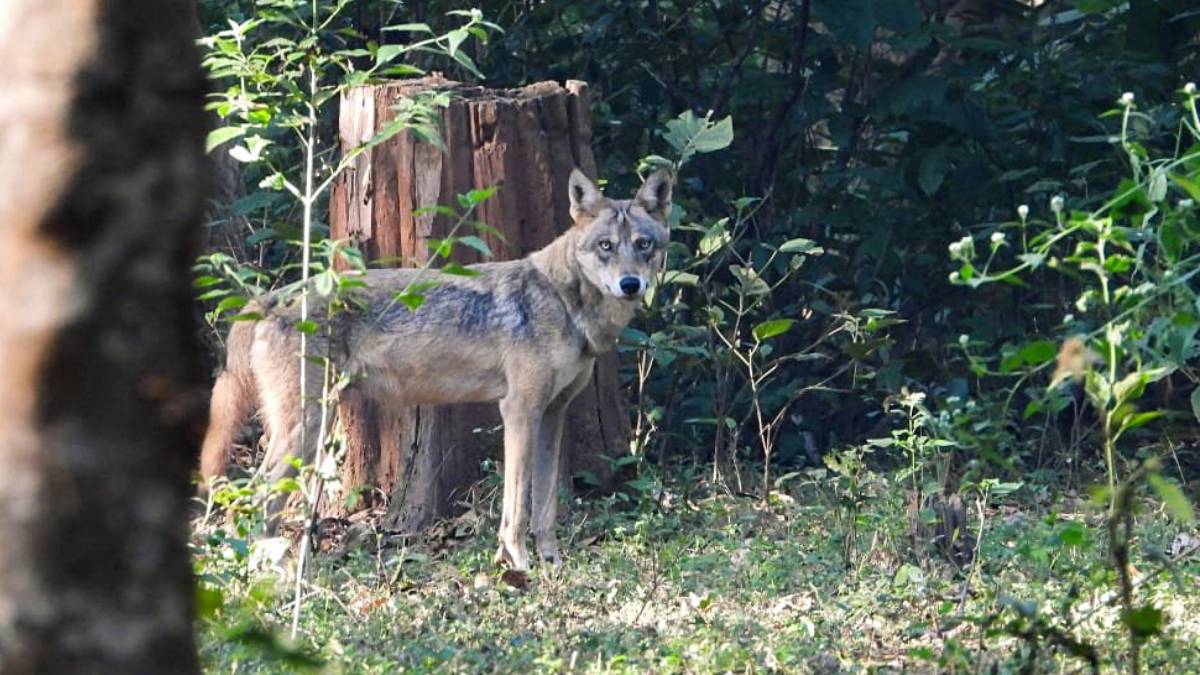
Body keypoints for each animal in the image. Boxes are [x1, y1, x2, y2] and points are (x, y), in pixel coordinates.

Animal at [199, 168, 672, 571]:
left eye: (643, 245)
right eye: (605, 246)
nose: (631, 284)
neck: (563, 300)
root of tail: (271, 297)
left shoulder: (552, 414)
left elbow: (544, 507)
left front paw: (552, 564)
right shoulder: (518, 410)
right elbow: (516, 506)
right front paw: (518, 565)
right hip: (308, 428)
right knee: (258, 492)